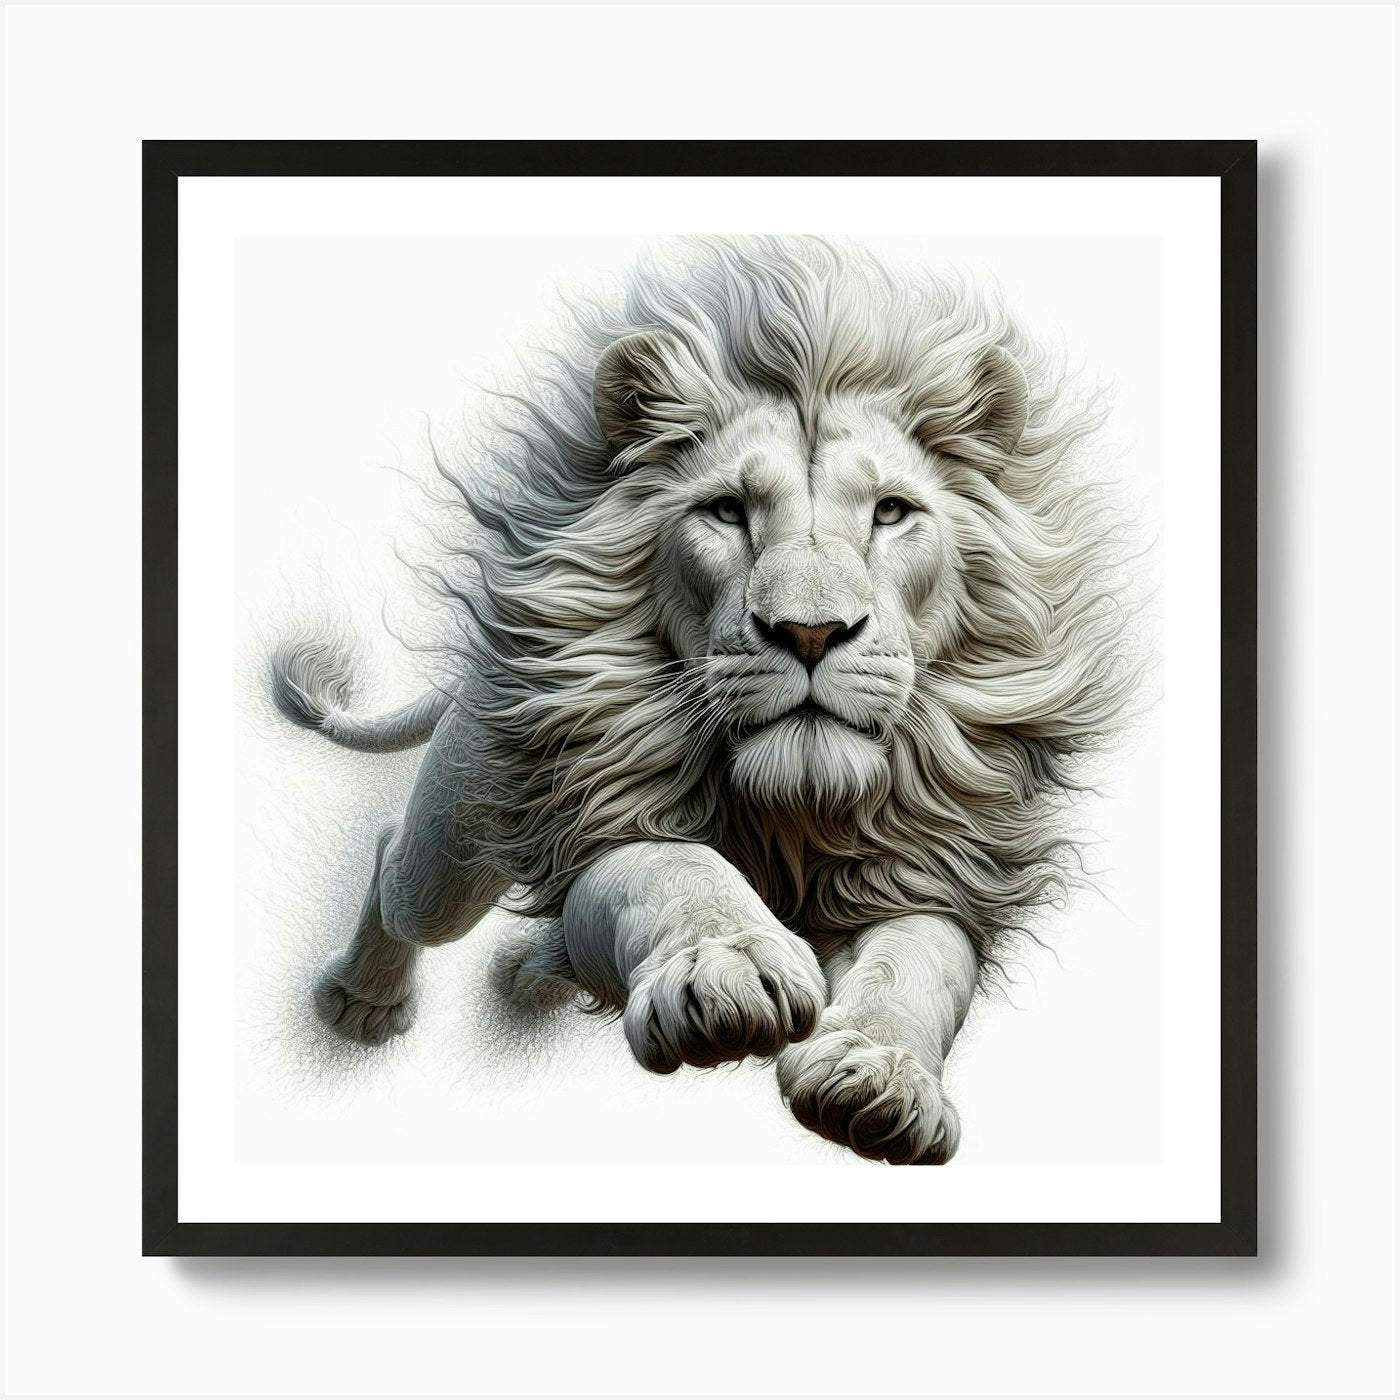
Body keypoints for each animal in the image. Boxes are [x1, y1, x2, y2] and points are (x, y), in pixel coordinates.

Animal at [270, 236, 1139, 1165]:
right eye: (725, 512)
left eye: (892, 513)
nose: (809, 632)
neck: (795, 805)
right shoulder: (601, 815)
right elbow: (677, 871)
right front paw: (723, 976)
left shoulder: (923, 869)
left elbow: (920, 963)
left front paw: (877, 1079)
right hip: (453, 845)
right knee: (396, 862)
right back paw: (362, 1001)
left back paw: (530, 976)